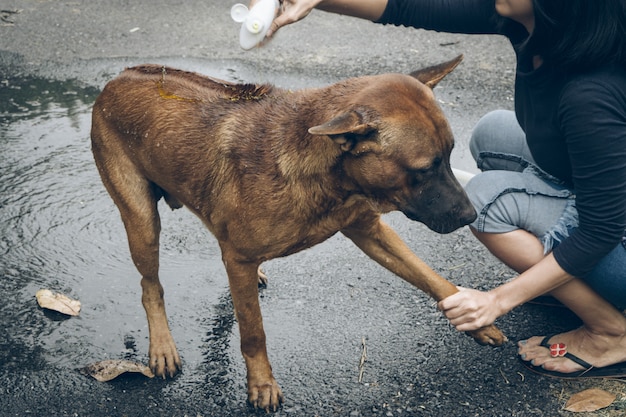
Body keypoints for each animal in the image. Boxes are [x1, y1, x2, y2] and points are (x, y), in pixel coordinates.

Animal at [90, 54, 504, 410]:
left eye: (449, 156)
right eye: (423, 169)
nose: (471, 215)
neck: (329, 178)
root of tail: (119, 77)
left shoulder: (370, 231)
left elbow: (431, 277)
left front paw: (475, 316)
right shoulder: (240, 259)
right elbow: (253, 333)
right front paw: (261, 384)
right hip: (142, 224)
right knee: (150, 287)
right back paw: (162, 346)